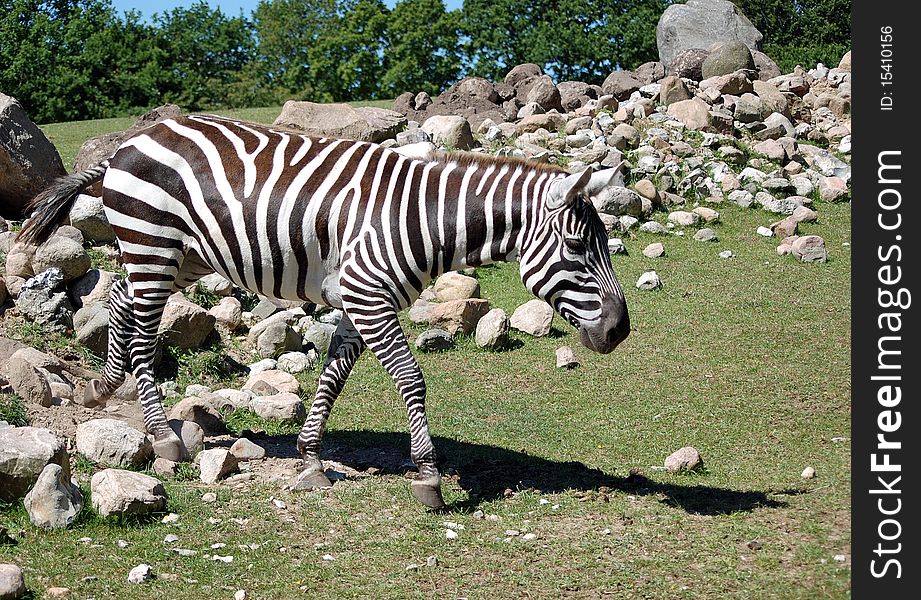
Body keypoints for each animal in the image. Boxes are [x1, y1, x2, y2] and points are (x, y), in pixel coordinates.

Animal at [18, 112, 628, 506]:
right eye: (577, 246)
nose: (620, 331)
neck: (422, 219)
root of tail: (130, 141)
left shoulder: (362, 301)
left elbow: (333, 377)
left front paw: (310, 459)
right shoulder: (367, 294)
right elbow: (411, 380)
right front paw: (428, 477)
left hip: (183, 255)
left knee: (122, 301)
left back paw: (103, 386)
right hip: (153, 243)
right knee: (144, 328)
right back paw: (162, 433)